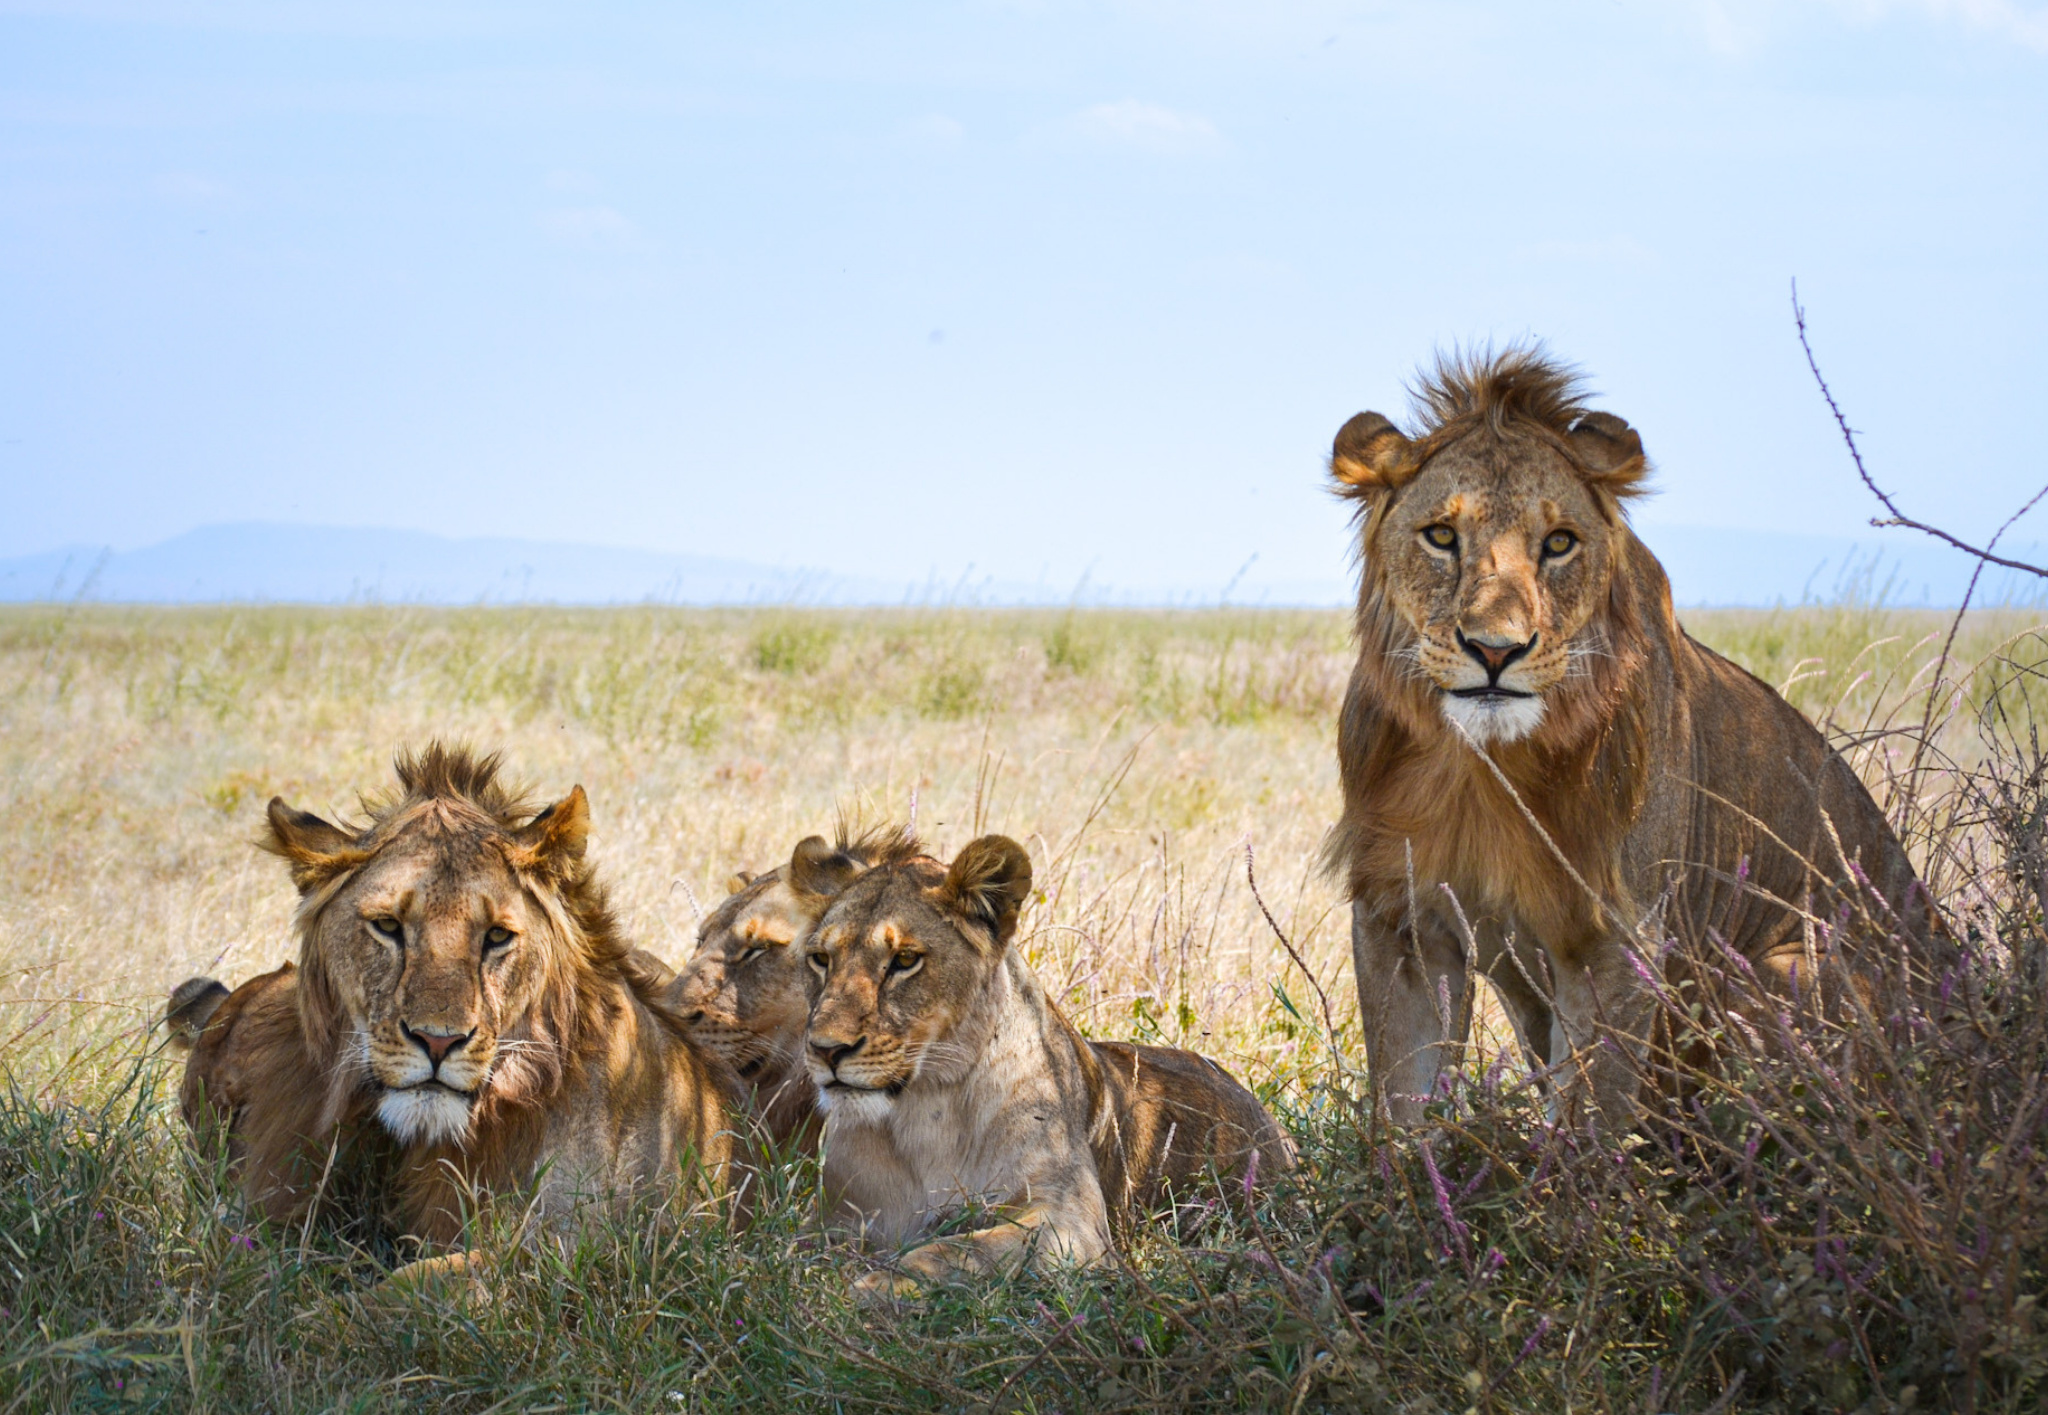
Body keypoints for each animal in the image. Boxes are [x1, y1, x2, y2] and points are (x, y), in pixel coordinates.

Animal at [798, 835, 1294, 1302]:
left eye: (904, 960)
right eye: (821, 959)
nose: (825, 1049)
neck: (924, 1108)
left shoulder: (1071, 1219)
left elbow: (958, 1250)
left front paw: (872, 1288)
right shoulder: (831, 1219)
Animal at [1327, 348, 1949, 1138]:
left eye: (1559, 544)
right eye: (1441, 535)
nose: (1495, 651)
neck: (1485, 768)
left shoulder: (1618, 934)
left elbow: (1588, 1127)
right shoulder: (1399, 919)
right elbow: (1404, 1112)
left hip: (1770, 972)